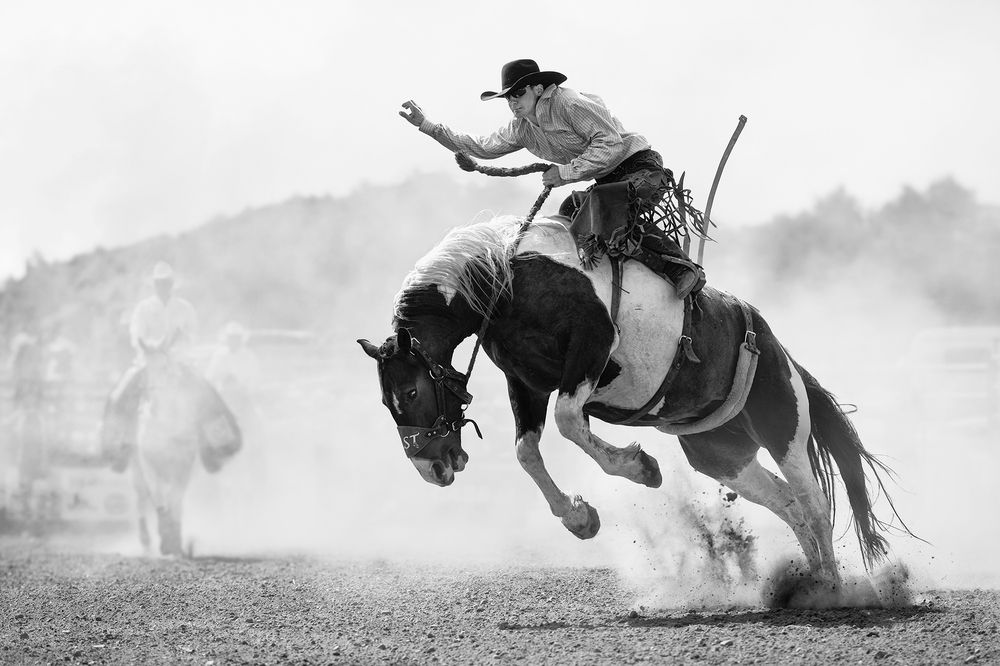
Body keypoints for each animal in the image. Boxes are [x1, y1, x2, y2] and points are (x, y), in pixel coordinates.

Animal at [101, 346, 241, 555]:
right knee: (142, 498)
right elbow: (159, 499)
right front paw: (166, 538)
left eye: (167, 369)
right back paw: (146, 541)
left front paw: (174, 540)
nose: (154, 403)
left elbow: (175, 499)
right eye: (145, 373)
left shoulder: (184, 464)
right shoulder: (148, 463)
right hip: (136, 467)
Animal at [358, 215, 907, 604]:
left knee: (812, 502)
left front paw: (640, 467)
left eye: (410, 393)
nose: (430, 467)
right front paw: (580, 518)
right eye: (386, 400)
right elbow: (527, 452)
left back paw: (834, 590)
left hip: (782, 423)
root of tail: (775, 345)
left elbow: (569, 423)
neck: (508, 280)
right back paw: (806, 582)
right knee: (786, 502)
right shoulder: (526, 384)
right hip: (718, 452)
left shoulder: (592, 350)